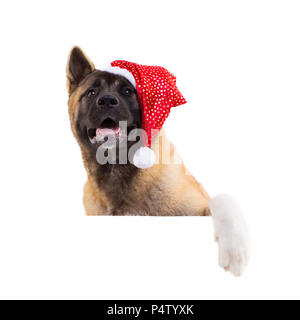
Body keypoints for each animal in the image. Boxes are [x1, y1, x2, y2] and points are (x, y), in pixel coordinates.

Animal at [67, 46, 250, 276]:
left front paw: (234, 250)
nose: (107, 100)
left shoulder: (200, 209)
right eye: (91, 92)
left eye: (127, 92)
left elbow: (222, 200)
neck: (117, 168)